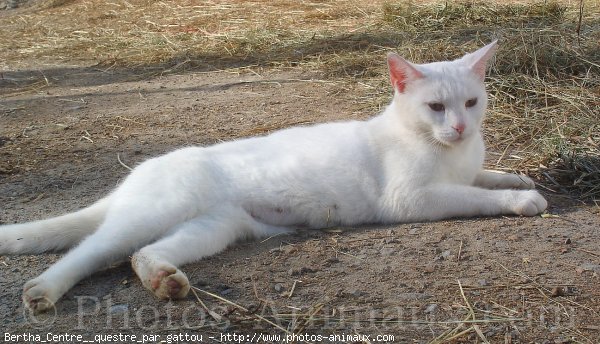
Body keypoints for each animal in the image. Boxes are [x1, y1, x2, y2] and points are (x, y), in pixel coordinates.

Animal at [0, 40, 548, 312]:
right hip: (154, 211)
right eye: (435, 107)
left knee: (141, 254)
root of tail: (138, 172)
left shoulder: (466, 168)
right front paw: (523, 201)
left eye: (471, 103)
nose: (459, 126)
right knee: (90, 250)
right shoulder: (410, 198)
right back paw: (43, 291)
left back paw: (163, 281)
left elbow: (485, 177)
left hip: (212, 228)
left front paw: (517, 178)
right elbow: (471, 196)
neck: (448, 149)